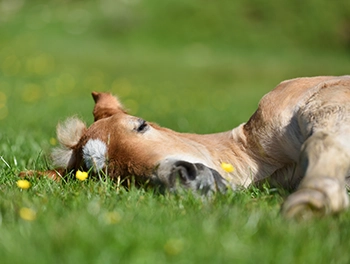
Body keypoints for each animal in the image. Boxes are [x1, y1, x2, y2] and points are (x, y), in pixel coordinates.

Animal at [21, 76, 350, 219]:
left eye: (141, 125)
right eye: (113, 175)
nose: (184, 177)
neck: (257, 157)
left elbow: (324, 140)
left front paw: (313, 201)